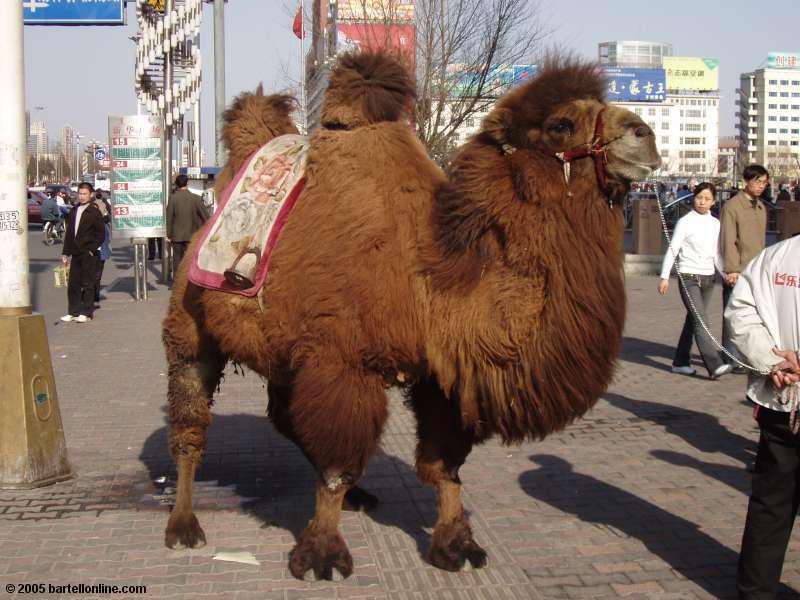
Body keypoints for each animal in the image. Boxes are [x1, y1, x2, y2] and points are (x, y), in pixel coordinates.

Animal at [161, 51, 656, 580]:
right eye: (560, 123)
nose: (644, 134)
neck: (431, 281)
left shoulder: (439, 375)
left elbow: (444, 466)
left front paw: (457, 545)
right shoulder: (340, 363)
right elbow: (337, 463)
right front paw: (322, 554)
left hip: (283, 353)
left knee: (284, 416)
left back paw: (358, 496)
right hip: (190, 329)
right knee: (191, 424)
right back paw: (183, 526)